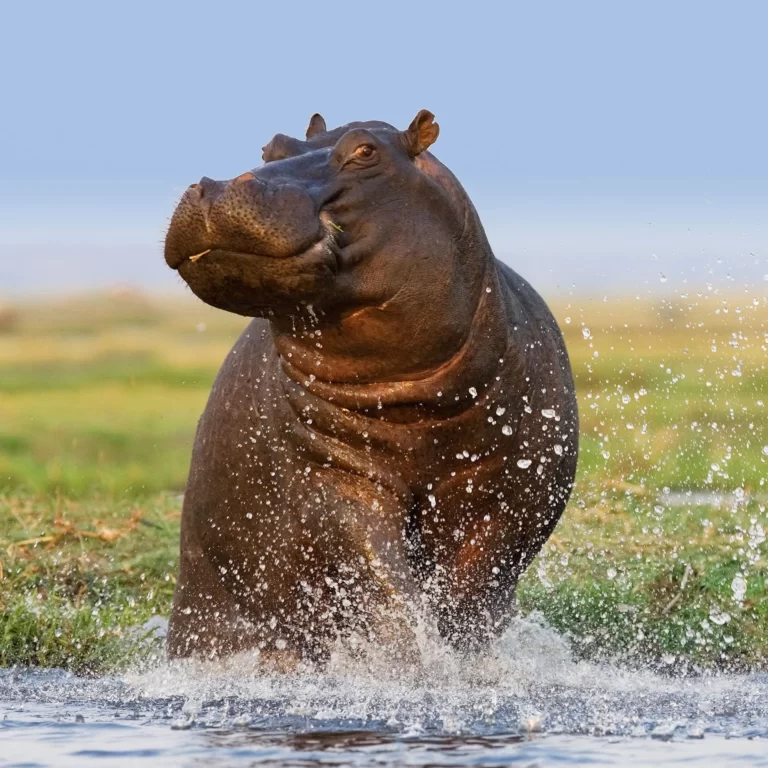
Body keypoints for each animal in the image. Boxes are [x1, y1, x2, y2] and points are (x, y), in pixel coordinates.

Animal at [164, 110, 578, 663]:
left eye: (366, 151)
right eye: (269, 147)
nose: (216, 187)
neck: (420, 407)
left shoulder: (514, 490)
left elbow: (474, 593)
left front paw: (467, 664)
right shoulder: (334, 478)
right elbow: (386, 584)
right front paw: (416, 664)